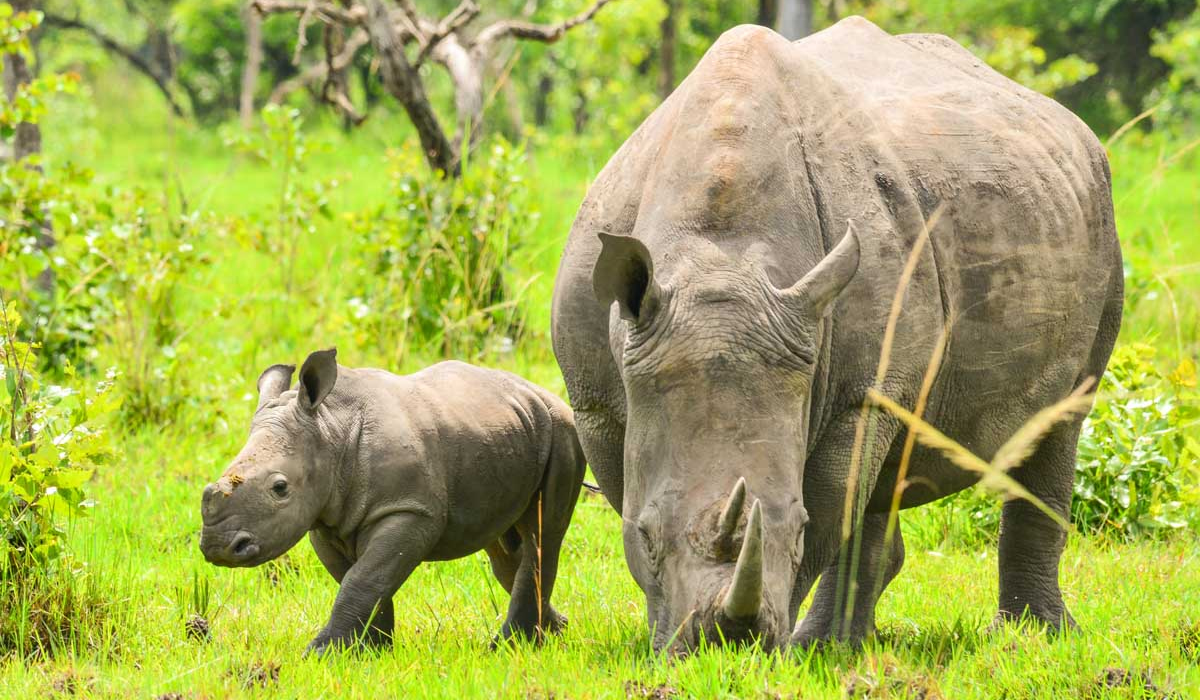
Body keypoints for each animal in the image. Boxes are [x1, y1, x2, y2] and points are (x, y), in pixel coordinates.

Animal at [199, 349, 587, 653]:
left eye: (280, 488)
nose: (218, 548)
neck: (330, 431)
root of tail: (542, 393)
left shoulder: (410, 510)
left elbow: (364, 578)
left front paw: (322, 653)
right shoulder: (323, 520)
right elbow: (363, 578)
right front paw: (370, 650)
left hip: (563, 431)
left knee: (543, 534)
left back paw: (509, 647)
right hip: (506, 432)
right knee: (504, 550)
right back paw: (556, 628)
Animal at [551, 18, 1122, 653]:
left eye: (797, 531)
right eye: (647, 537)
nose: (728, 646)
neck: (718, 252)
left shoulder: (859, 394)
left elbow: (832, 507)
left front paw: (791, 648)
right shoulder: (597, 400)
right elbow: (626, 491)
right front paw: (666, 641)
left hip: (1096, 214)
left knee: (1062, 417)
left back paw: (1026, 635)